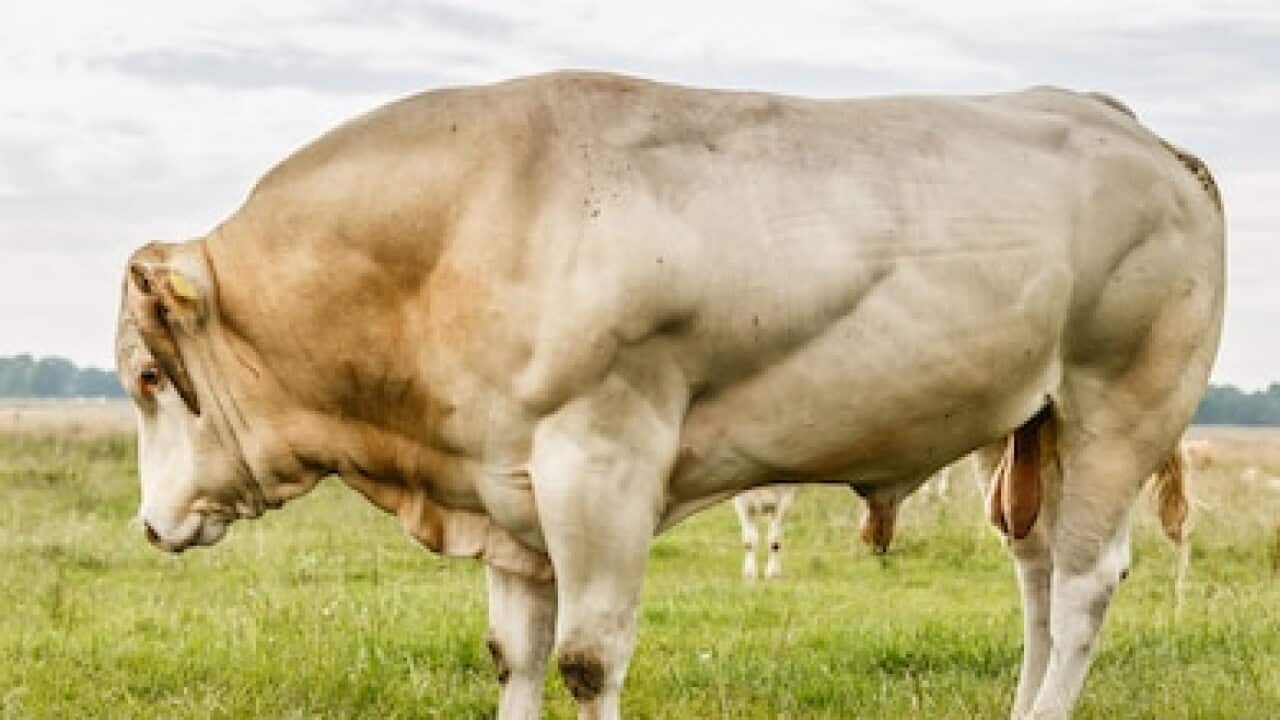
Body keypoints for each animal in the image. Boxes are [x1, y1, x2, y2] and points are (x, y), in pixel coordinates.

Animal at [114, 72, 1223, 719]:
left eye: (148, 378)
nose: (150, 525)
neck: (461, 229)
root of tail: (1123, 124)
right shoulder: (507, 493)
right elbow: (514, 655)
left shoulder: (599, 465)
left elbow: (587, 659)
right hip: (1027, 426)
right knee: (1035, 578)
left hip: (1119, 406)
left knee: (1083, 586)